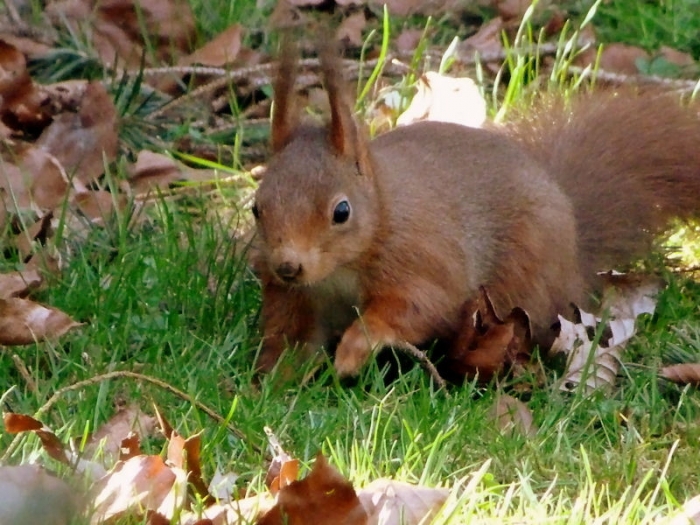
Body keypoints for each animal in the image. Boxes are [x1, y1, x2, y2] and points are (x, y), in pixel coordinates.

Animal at [251, 41, 700, 378]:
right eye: (257, 208)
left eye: (341, 211)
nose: (287, 266)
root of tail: (573, 250)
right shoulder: (296, 297)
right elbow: (290, 336)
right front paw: (272, 381)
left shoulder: (423, 259)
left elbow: (417, 306)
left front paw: (352, 352)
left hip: (522, 282)